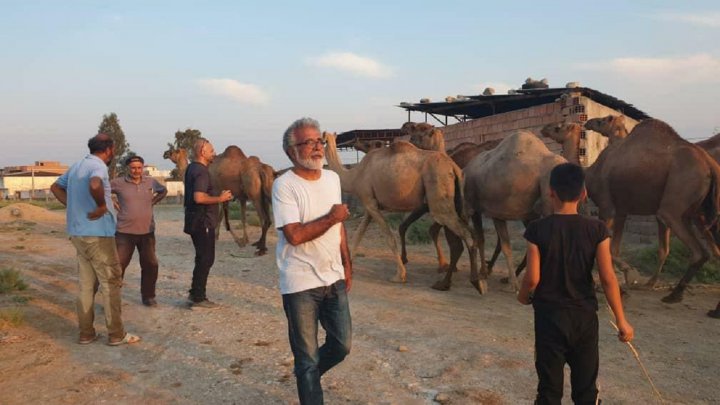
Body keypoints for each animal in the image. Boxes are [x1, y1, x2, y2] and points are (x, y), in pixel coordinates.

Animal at [322, 131, 480, 292]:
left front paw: (400, 276)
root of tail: (454, 167)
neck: (354, 176)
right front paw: (348, 268)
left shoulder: (369, 202)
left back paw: (473, 282)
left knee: (463, 234)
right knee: (469, 233)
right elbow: (358, 235)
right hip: (456, 200)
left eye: (323, 140)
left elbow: (389, 237)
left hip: (439, 195)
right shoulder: (370, 204)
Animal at [564, 115, 720, 302]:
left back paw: (674, 294)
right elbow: (620, 248)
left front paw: (625, 279)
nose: (588, 122)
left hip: (674, 207)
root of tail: (710, 165)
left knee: (700, 252)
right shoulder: (622, 210)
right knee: (712, 249)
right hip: (697, 213)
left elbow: (606, 249)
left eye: (602, 121)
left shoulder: (607, 207)